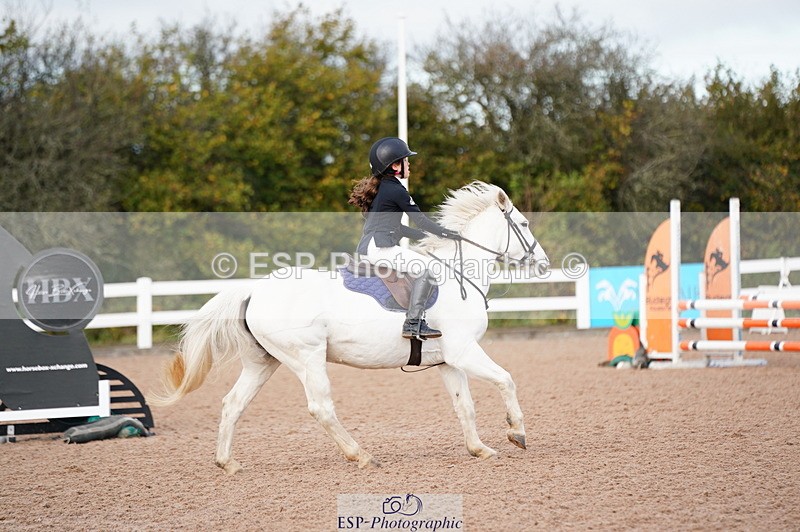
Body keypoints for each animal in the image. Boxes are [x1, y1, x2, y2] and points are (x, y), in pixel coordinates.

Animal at [150, 181, 550, 473]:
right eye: (524, 225)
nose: (544, 264)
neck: (458, 275)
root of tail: (253, 290)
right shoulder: (464, 351)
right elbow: (506, 379)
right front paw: (516, 432)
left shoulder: (448, 360)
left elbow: (464, 405)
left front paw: (479, 449)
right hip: (307, 358)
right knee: (321, 407)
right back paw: (361, 455)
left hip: (263, 362)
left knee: (233, 403)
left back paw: (228, 463)